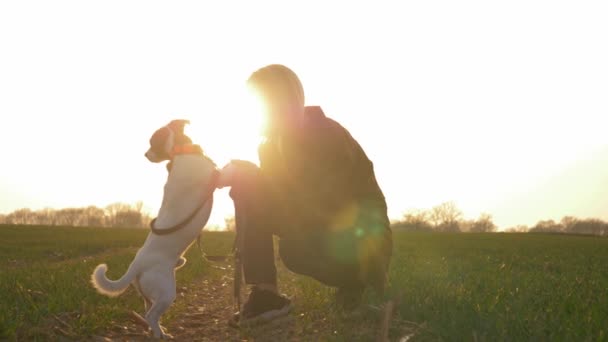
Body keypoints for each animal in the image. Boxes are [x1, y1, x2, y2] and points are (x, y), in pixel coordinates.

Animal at [88, 119, 216, 338]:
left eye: (152, 142)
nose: (145, 155)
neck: (181, 152)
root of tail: (136, 265)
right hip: (166, 292)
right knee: (151, 315)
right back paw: (161, 334)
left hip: (148, 294)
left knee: (148, 311)